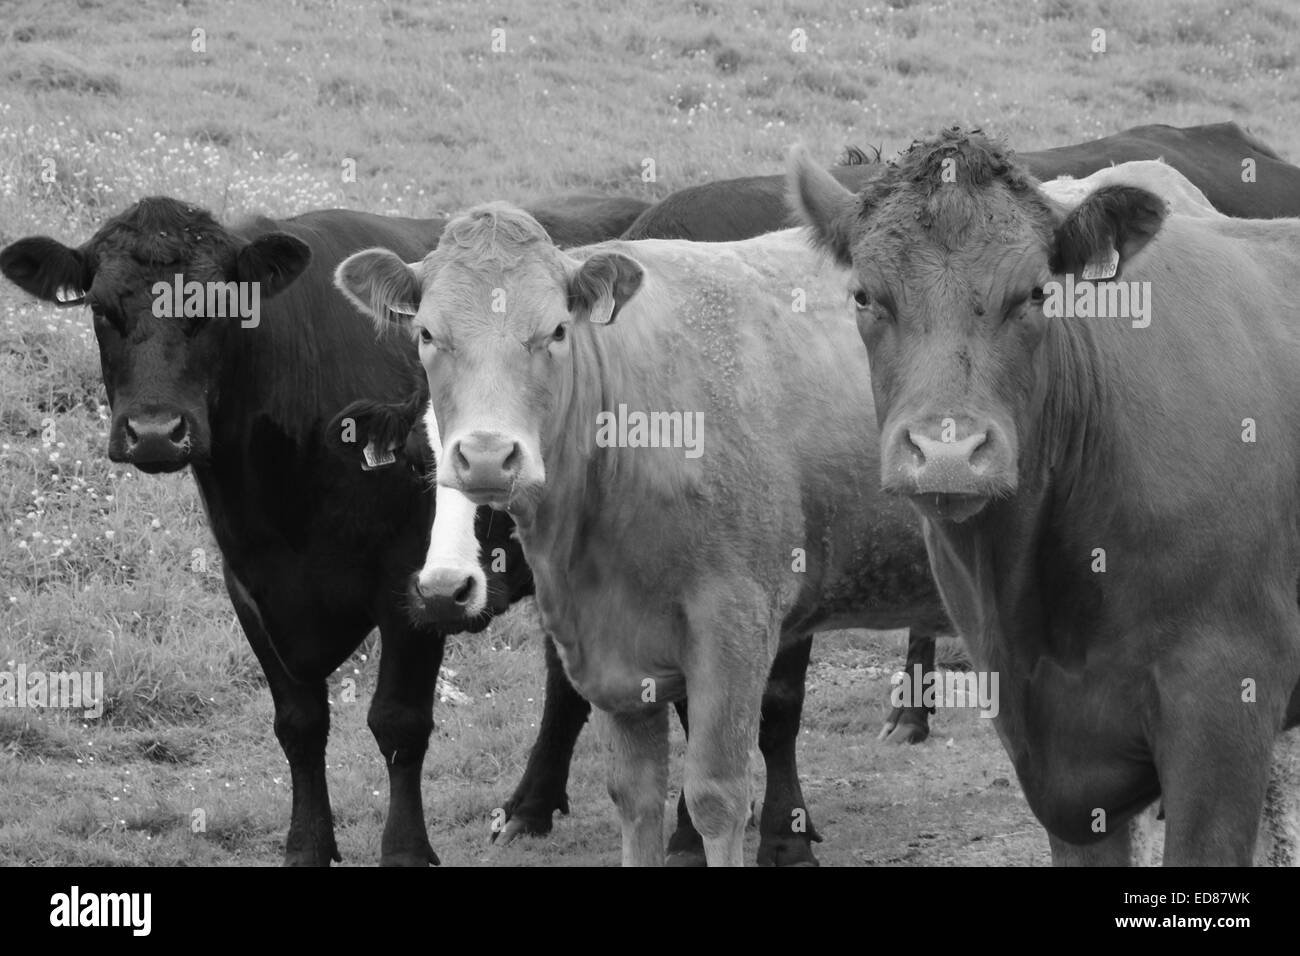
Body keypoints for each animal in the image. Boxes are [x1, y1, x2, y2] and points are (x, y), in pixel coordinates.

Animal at [0, 192, 648, 866]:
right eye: (101, 309)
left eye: (219, 306)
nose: (154, 432)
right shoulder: (249, 587)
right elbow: (300, 723)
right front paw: (307, 846)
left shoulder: (412, 583)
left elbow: (398, 722)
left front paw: (406, 850)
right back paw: (531, 807)